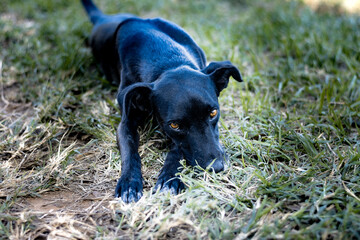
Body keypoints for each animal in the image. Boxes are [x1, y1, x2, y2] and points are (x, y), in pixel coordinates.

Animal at [80, 0, 243, 202]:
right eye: (175, 125)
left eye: (213, 113)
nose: (216, 168)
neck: (167, 59)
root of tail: (102, 18)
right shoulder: (125, 122)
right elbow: (129, 150)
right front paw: (129, 183)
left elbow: (177, 149)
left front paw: (169, 179)